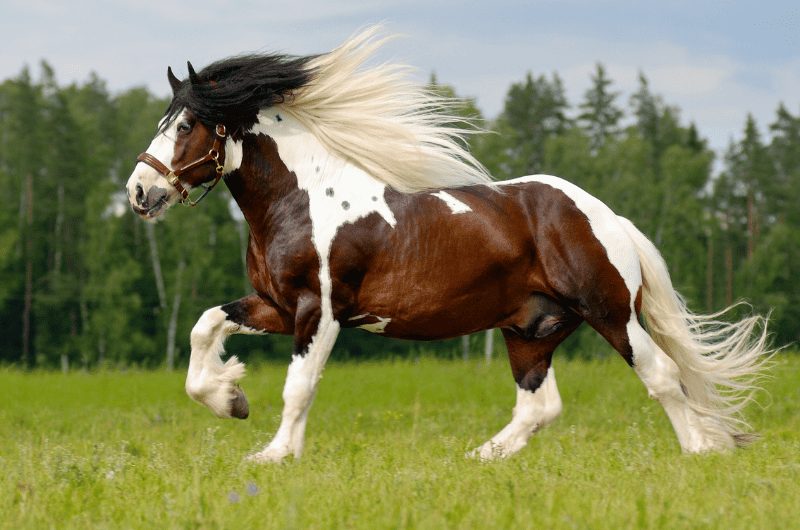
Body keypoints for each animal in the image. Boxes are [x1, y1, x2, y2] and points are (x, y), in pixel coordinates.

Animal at [126, 27, 771, 462]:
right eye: (165, 121)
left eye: (186, 125)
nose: (138, 192)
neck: (300, 201)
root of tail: (605, 215)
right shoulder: (276, 307)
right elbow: (204, 326)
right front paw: (229, 395)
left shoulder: (319, 311)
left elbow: (298, 386)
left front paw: (273, 454)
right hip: (530, 329)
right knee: (540, 404)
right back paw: (481, 457)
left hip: (609, 311)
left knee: (661, 374)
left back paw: (699, 452)